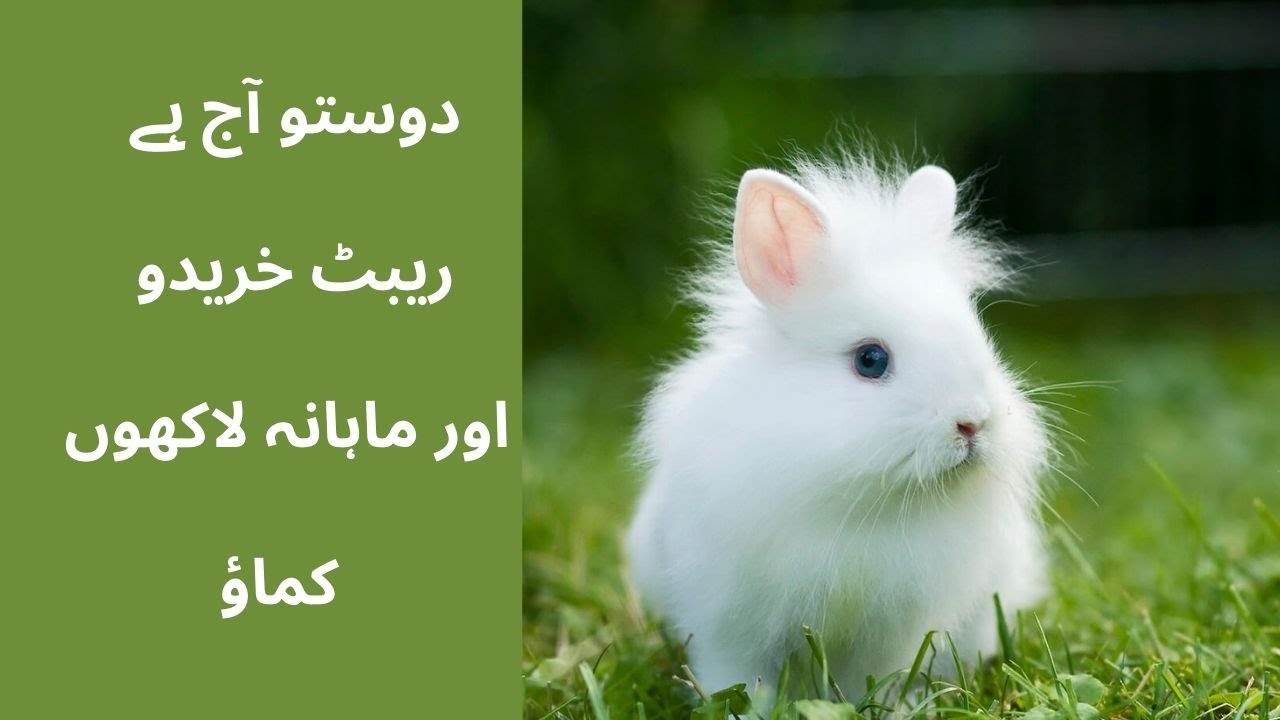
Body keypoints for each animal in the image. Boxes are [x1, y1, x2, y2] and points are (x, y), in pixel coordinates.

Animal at [625, 151, 1052, 698]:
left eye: (981, 338)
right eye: (870, 360)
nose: (973, 422)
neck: (860, 505)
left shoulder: (895, 628)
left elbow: (873, 675)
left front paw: (886, 703)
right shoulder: (727, 621)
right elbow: (737, 674)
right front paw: (746, 707)